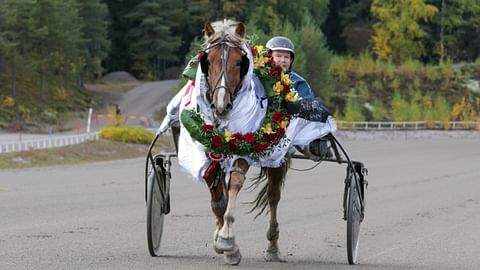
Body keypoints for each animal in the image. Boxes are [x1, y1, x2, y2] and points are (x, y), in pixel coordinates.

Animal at [199, 19, 288, 266]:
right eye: (208, 61)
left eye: (239, 62)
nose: (221, 105)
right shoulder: (211, 152)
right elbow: (218, 198)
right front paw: (221, 238)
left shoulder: (245, 145)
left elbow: (236, 183)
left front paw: (227, 241)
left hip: (276, 158)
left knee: (273, 196)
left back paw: (273, 246)